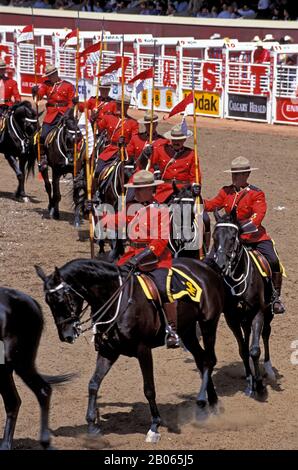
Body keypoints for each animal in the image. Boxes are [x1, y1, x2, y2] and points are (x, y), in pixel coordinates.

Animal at [35, 258, 224, 440]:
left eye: (61, 299)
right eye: (47, 302)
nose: (66, 335)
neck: (116, 299)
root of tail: (204, 266)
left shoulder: (143, 350)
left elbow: (149, 388)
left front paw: (154, 426)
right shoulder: (108, 351)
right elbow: (93, 384)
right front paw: (92, 425)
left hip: (208, 324)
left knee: (209, 360)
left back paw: (204, 402)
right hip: (187, 331)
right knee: (201, 360)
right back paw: (210, 404)